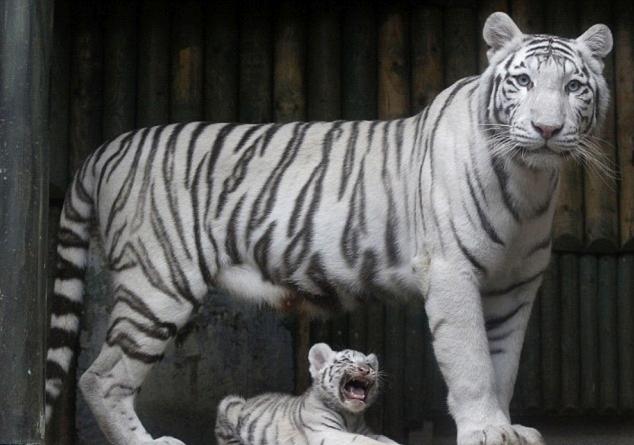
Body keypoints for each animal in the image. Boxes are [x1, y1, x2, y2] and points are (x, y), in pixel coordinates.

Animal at [45, 12, 612, 442]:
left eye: (573, 86)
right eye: (523, 81)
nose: (546, 129)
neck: (530, 179)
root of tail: (106, 147)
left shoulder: (514, 288)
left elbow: (503, 364)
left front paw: (507, 428)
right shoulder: (452, 273)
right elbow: (472, 363)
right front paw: (487, 430)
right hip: (157, 284)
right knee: (101, 378)